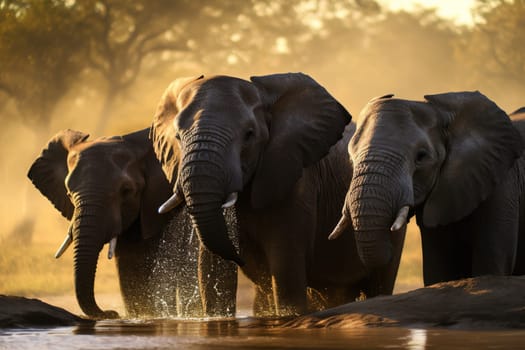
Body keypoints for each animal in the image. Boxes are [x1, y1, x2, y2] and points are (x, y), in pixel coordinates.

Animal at [148, 72, 406, 316]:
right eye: (178, 137)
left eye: (249, 134)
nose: (240, 258)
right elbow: (211, 269)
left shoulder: (294, 178)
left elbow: (286, 267)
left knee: (380, 280)